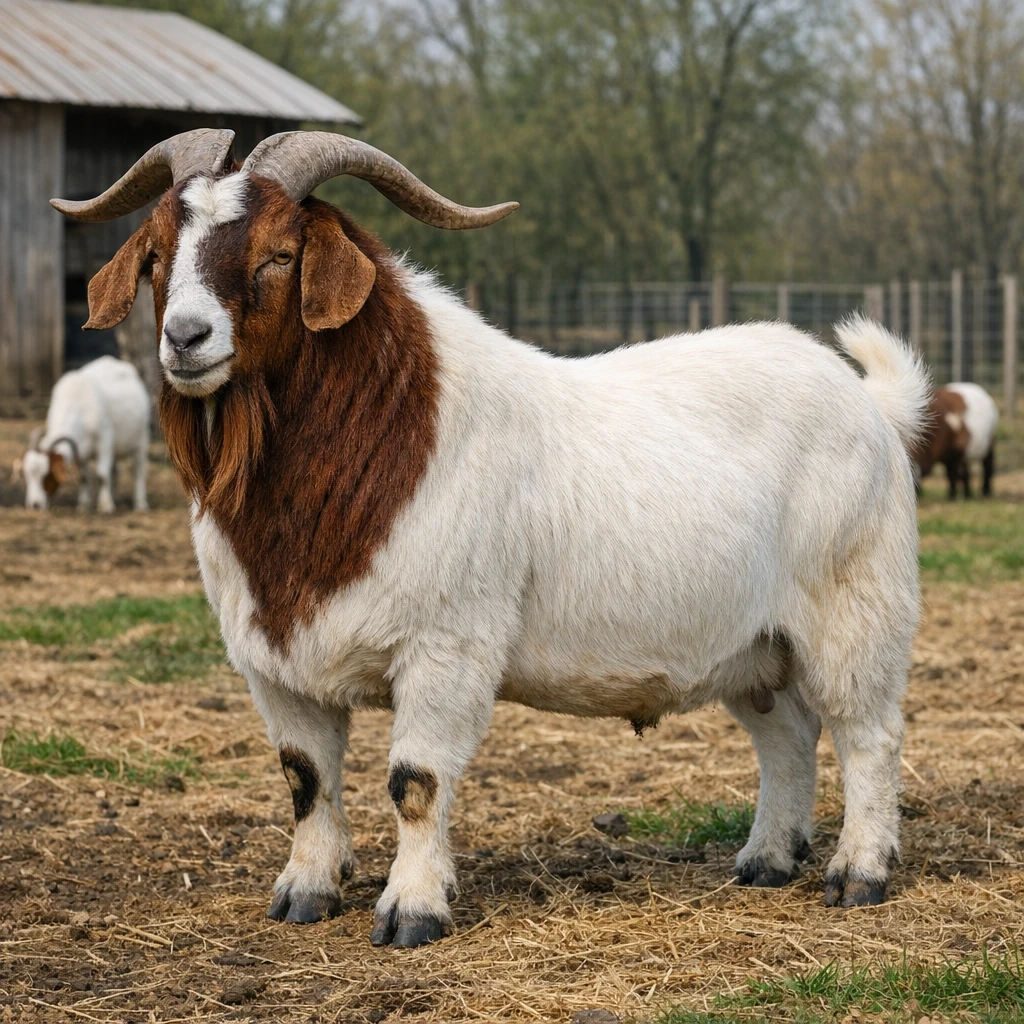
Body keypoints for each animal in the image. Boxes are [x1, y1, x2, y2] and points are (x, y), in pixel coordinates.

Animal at [15, 356, 150, 513]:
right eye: (26, 476)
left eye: (47, 475)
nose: (35, 505)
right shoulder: (80, 449)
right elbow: (84, 477)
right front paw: (84, 505)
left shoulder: (105, 442)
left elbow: (102, 475)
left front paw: (106, 506)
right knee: (115, 469)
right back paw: (116, 497)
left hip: (141, 438)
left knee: (138, 471)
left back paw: (140, 504)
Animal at [53, 129, 929, 948]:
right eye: (157, 253)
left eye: (279, 252)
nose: (185, 339)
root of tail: (869, 401)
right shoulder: (273, 663)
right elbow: (305, 780)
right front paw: (305, 892)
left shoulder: (446, 648)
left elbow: (416, 782)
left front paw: (412, 910)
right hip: (755, 646)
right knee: (789, 737)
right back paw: (766, 860)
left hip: (854, 610)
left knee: (870, 735)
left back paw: (859, 873)